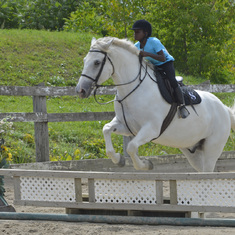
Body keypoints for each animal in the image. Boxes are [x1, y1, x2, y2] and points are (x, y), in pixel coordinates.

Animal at [76, 37, 235, 173]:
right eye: (84, 60)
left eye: (97, 62)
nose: (80, 90)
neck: (134, 89)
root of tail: (224, 109)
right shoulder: (125, 126)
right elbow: (106, 129)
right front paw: (118, 160)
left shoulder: (150, 129)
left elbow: (131, 147)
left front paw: (146, 165)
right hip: (192, 151)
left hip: (212, 148)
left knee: (208, 171)